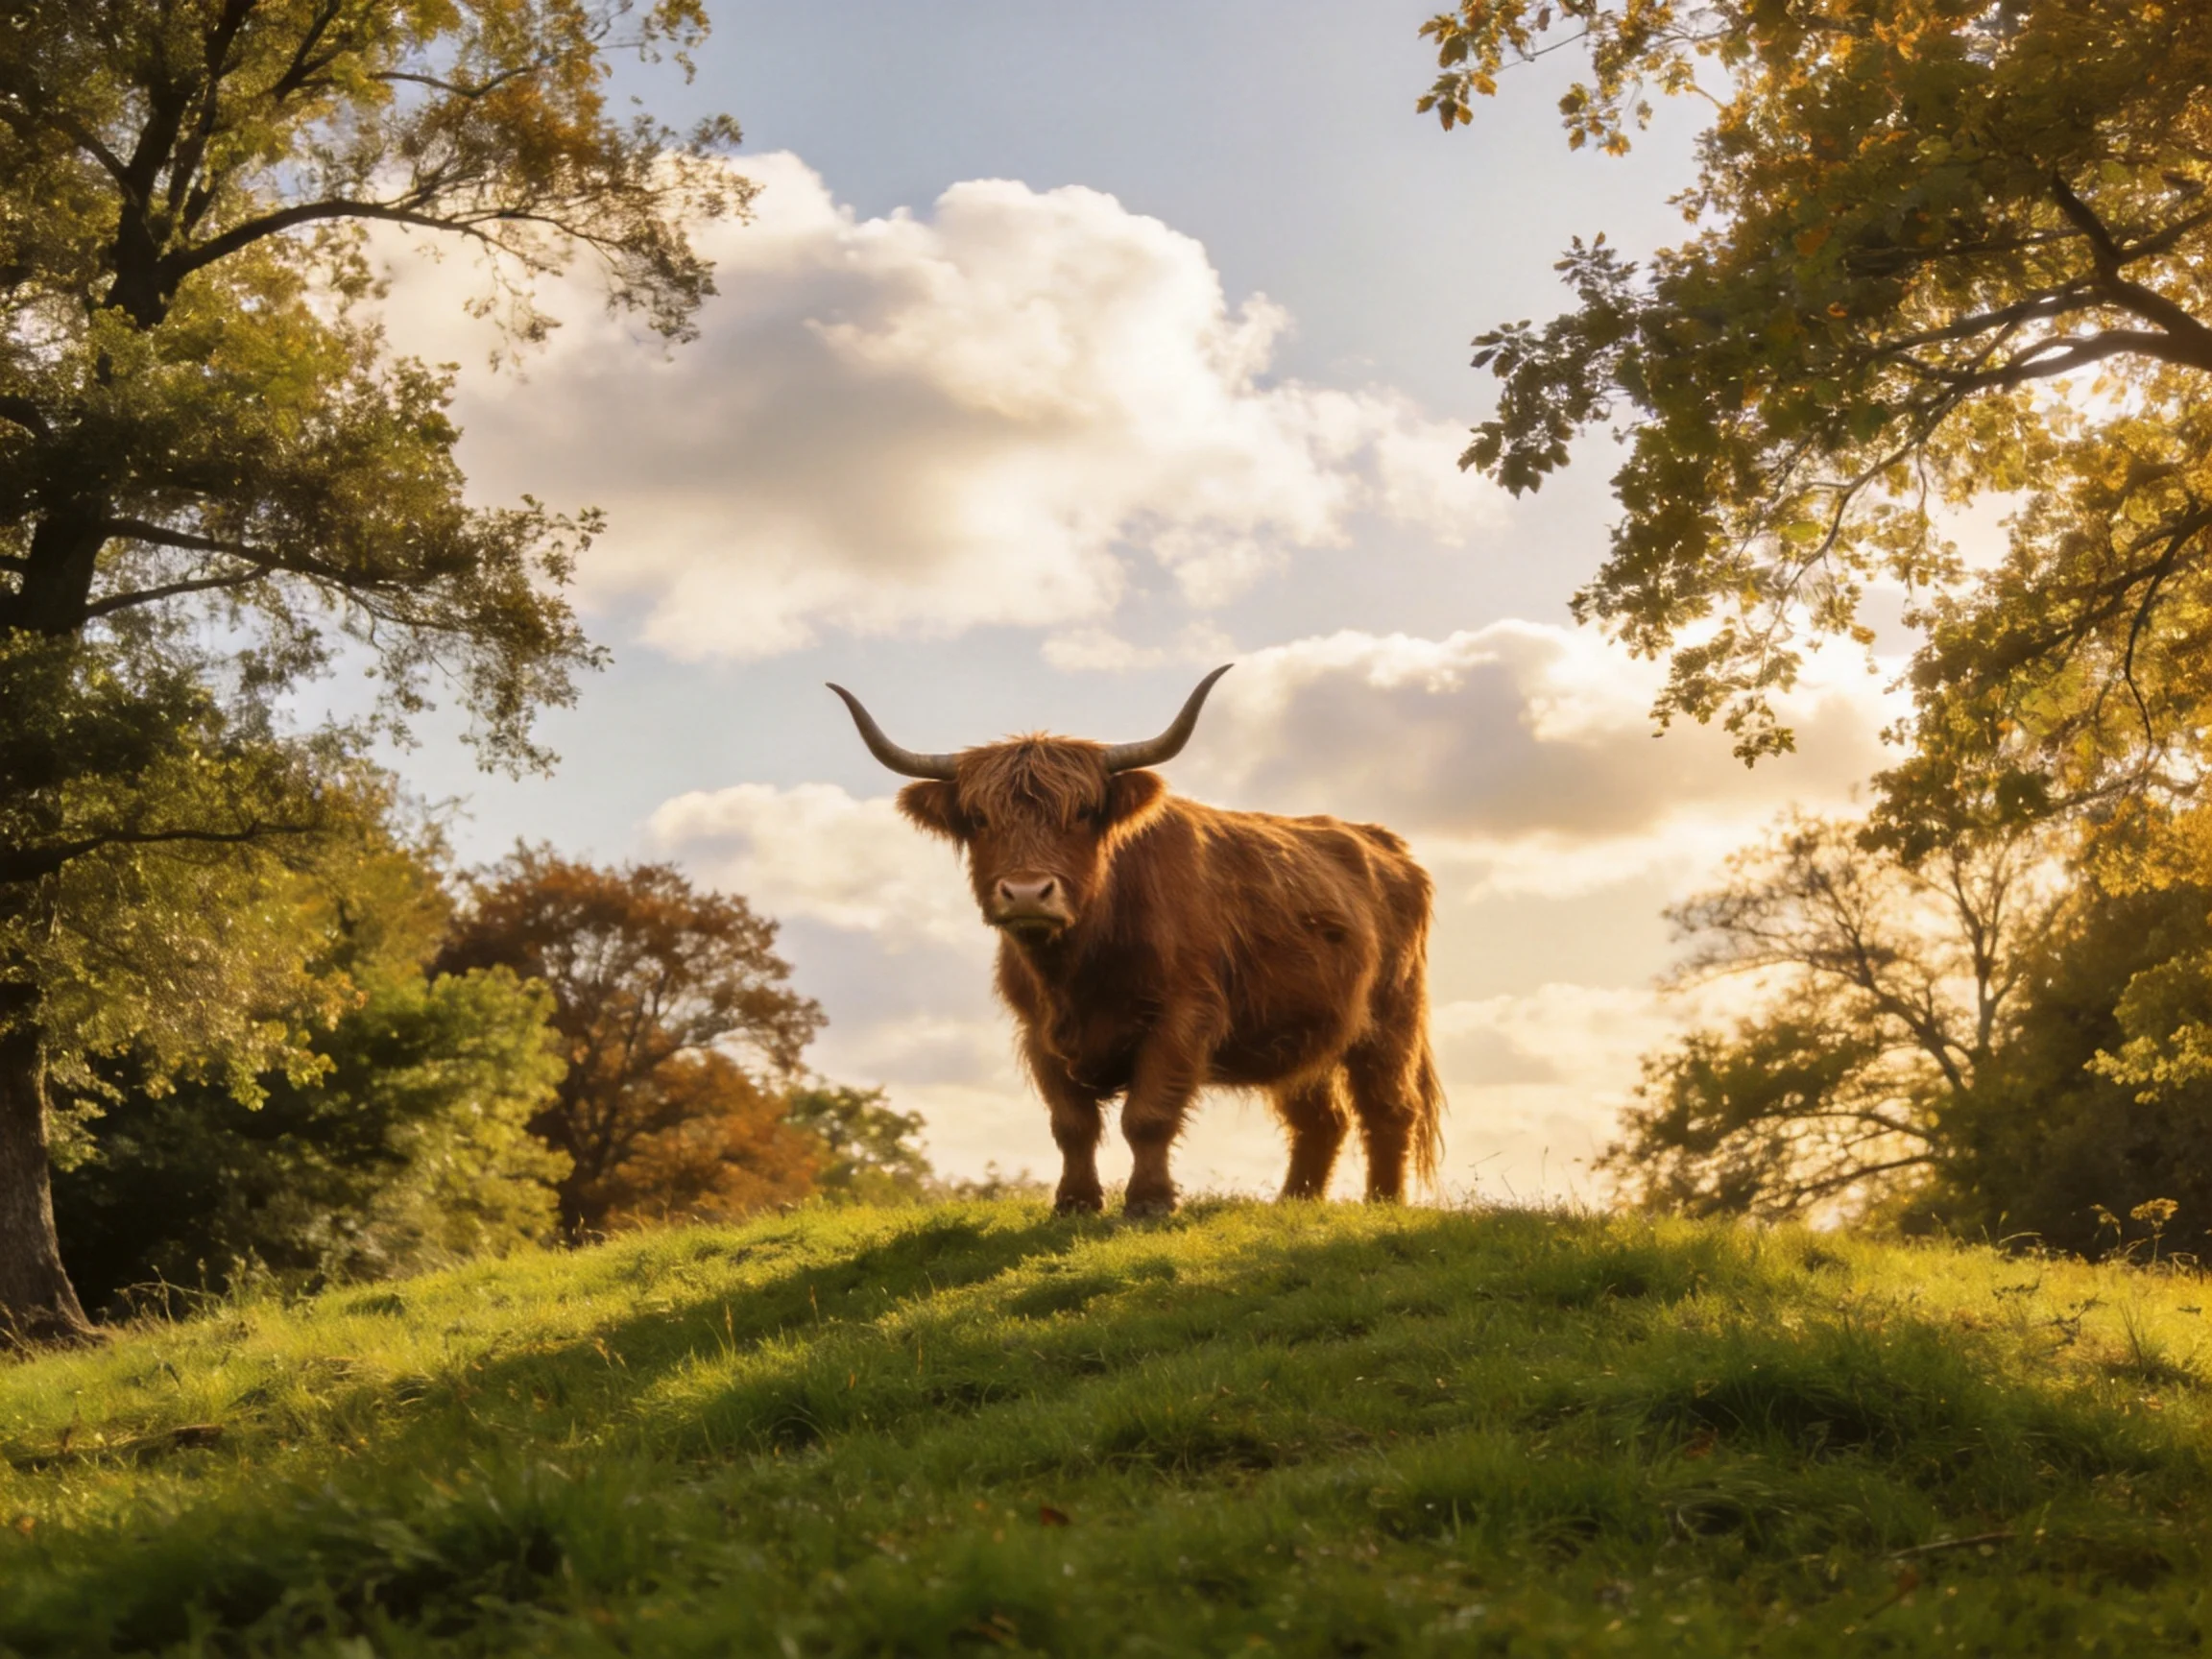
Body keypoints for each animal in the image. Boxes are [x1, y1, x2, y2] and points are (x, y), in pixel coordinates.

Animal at [830, 667, 1444, 1216]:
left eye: (1082, 812)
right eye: (979, 818)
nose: (1027, 892)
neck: (1076, 967)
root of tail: (1381, 841)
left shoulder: (1182, 1016)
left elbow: (1147, 1116)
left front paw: (1149, 1201)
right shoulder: (1038, 1033)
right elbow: (1072, 1124)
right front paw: (1075, 1202)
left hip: (1391, 1020)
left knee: (1389, 1109)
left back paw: (1383, 1203)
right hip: (1300, 1029)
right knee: (1320, 1120)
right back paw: (1294, 1203)